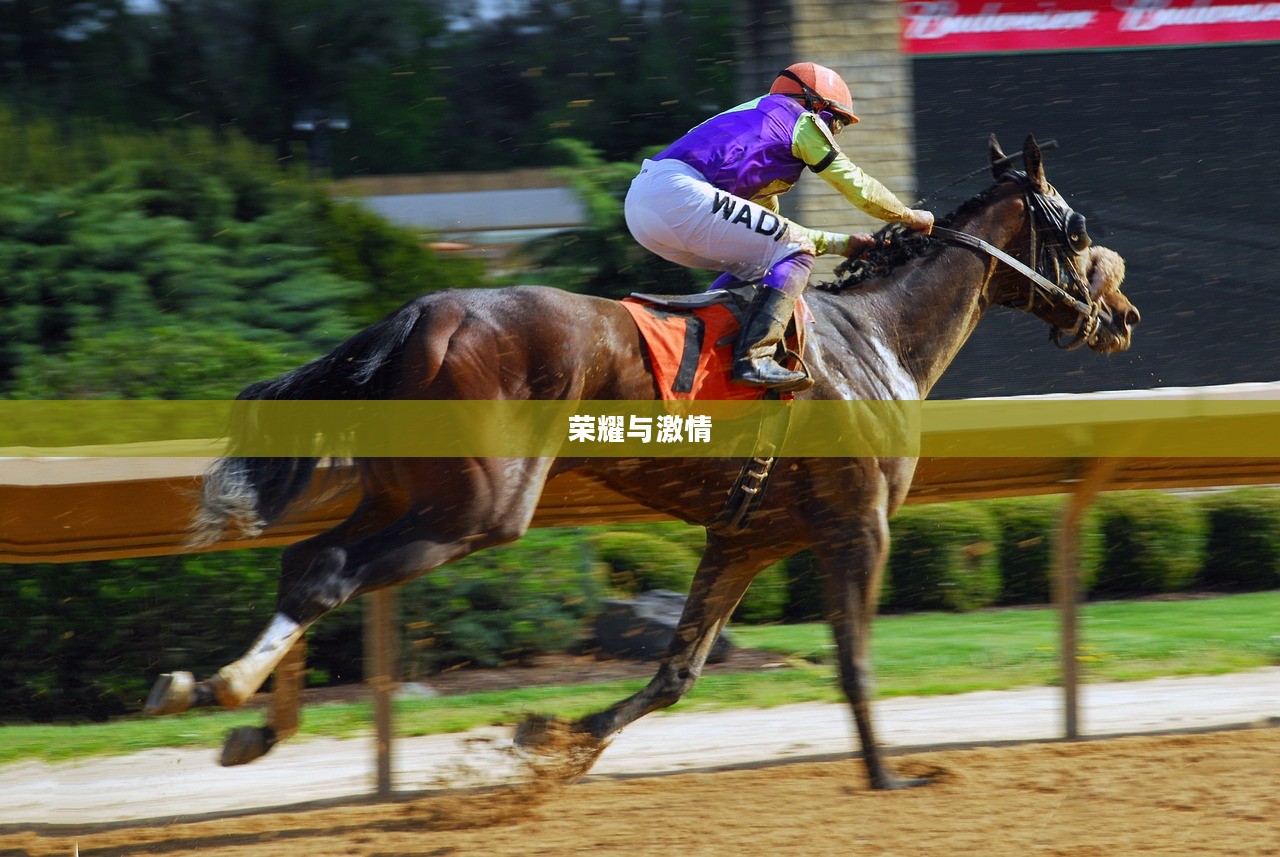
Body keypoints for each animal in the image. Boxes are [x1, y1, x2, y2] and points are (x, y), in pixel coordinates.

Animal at [145, 135, 1139, 790]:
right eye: (1074, 224)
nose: (1123, 317)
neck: (878, 339)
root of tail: (425, 311)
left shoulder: (745, 538)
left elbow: (675, 672)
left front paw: (553, 736)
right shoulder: (856, 525)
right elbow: (854, 661)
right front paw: (889, 775)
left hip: (411, 491)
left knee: (309, 560)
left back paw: (226, 705)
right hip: (477, 508)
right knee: (331, 573)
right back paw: (223, 689)